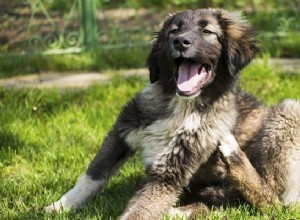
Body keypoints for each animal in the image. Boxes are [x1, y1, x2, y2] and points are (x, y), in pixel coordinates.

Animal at [45, 8, 300, 218]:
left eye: (208, 31)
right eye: (173, 31)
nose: (180, 42)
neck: (181, 105)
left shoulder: (170, 171)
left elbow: (140, 209)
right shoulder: (121, 132)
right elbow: (92, 175)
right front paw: (61, 206)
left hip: (289, 110)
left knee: (272, 200)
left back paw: (233, 154)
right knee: (218, 203)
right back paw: (177, 211)